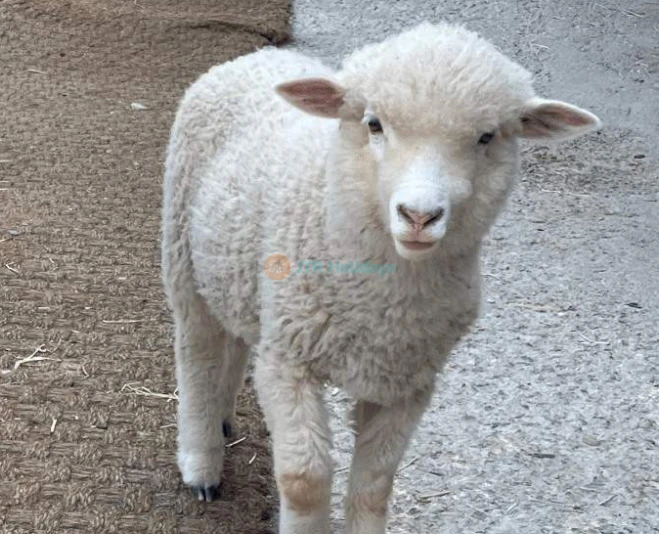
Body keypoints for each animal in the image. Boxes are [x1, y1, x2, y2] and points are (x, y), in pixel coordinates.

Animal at [161, 21, 601, 534]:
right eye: (374, 124)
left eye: (486, 136)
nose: (419, 215)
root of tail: (254, 58)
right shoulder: (289, 361)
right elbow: (304, 479)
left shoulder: (408, 383)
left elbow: (375, 485)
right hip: (181, 253)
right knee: (197, 353)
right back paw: (200, 461)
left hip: (236, 270)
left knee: (233, 338)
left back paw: (224, 416)